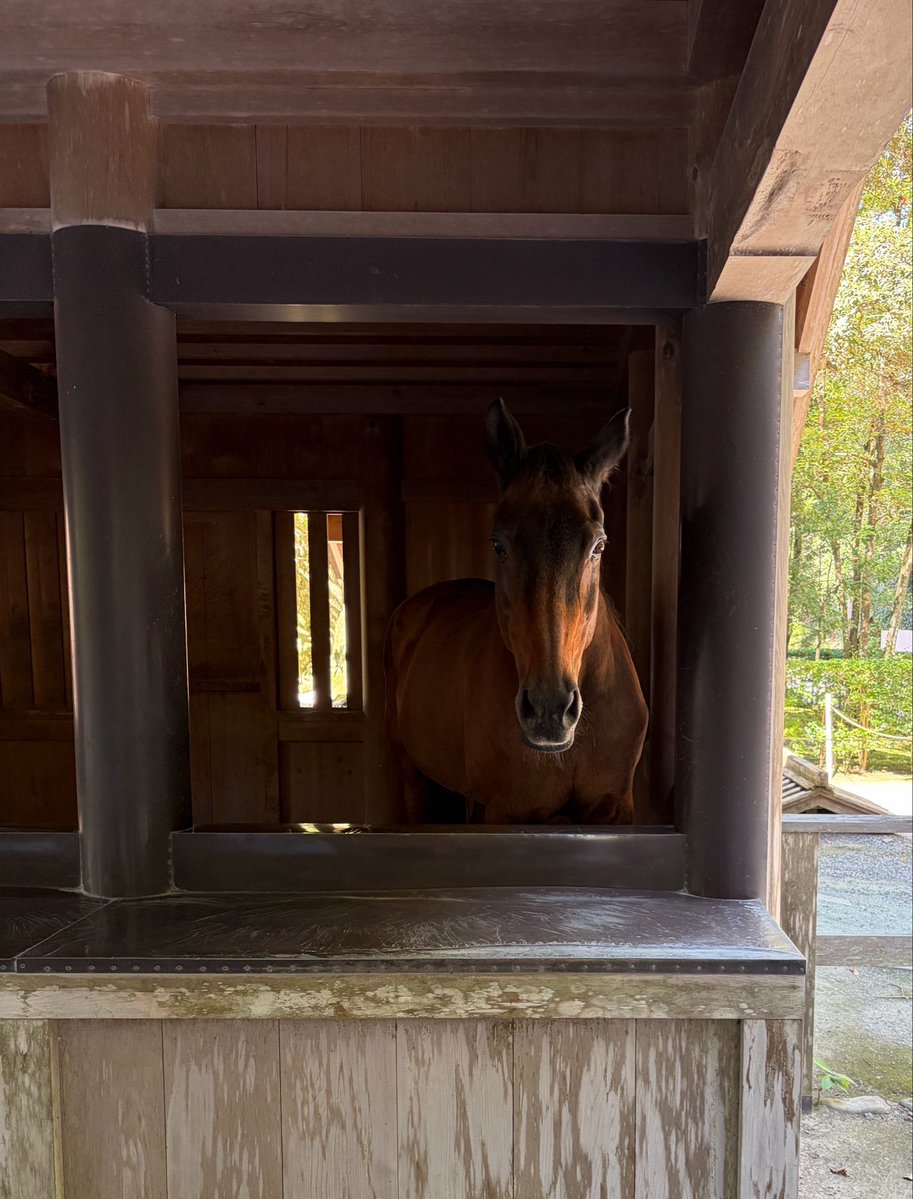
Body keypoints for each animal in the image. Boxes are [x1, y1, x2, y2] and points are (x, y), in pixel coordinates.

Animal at [385, 399, 648, 824]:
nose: (549, 710)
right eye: (498, 545)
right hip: (415, 780)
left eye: (599, 546)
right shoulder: (507, 814)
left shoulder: (613, 810)